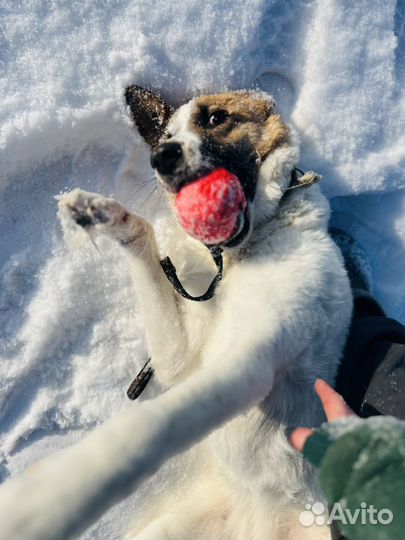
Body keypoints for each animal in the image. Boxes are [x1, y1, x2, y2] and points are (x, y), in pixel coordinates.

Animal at [57, 86, 354, 536]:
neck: (234, 258)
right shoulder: (179, 359)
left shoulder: (251, 363)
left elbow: (164, 421)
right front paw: (102, 214)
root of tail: (255, 517)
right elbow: (144, 237)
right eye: (165, 136)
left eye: (216, 118)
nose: (162, 156)